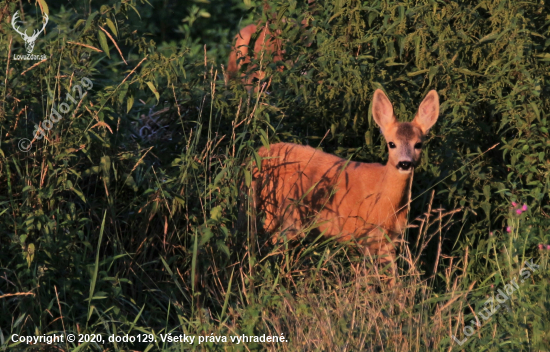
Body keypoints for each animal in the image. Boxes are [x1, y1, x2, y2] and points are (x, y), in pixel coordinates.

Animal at [248, 89, 442, 284]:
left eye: (418, 144)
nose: (404, 163)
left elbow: (393, 278)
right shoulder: (358, 234)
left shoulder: (390, 239)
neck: (384, 203)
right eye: (391, 144)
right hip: (273, 209)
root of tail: (257, 154)